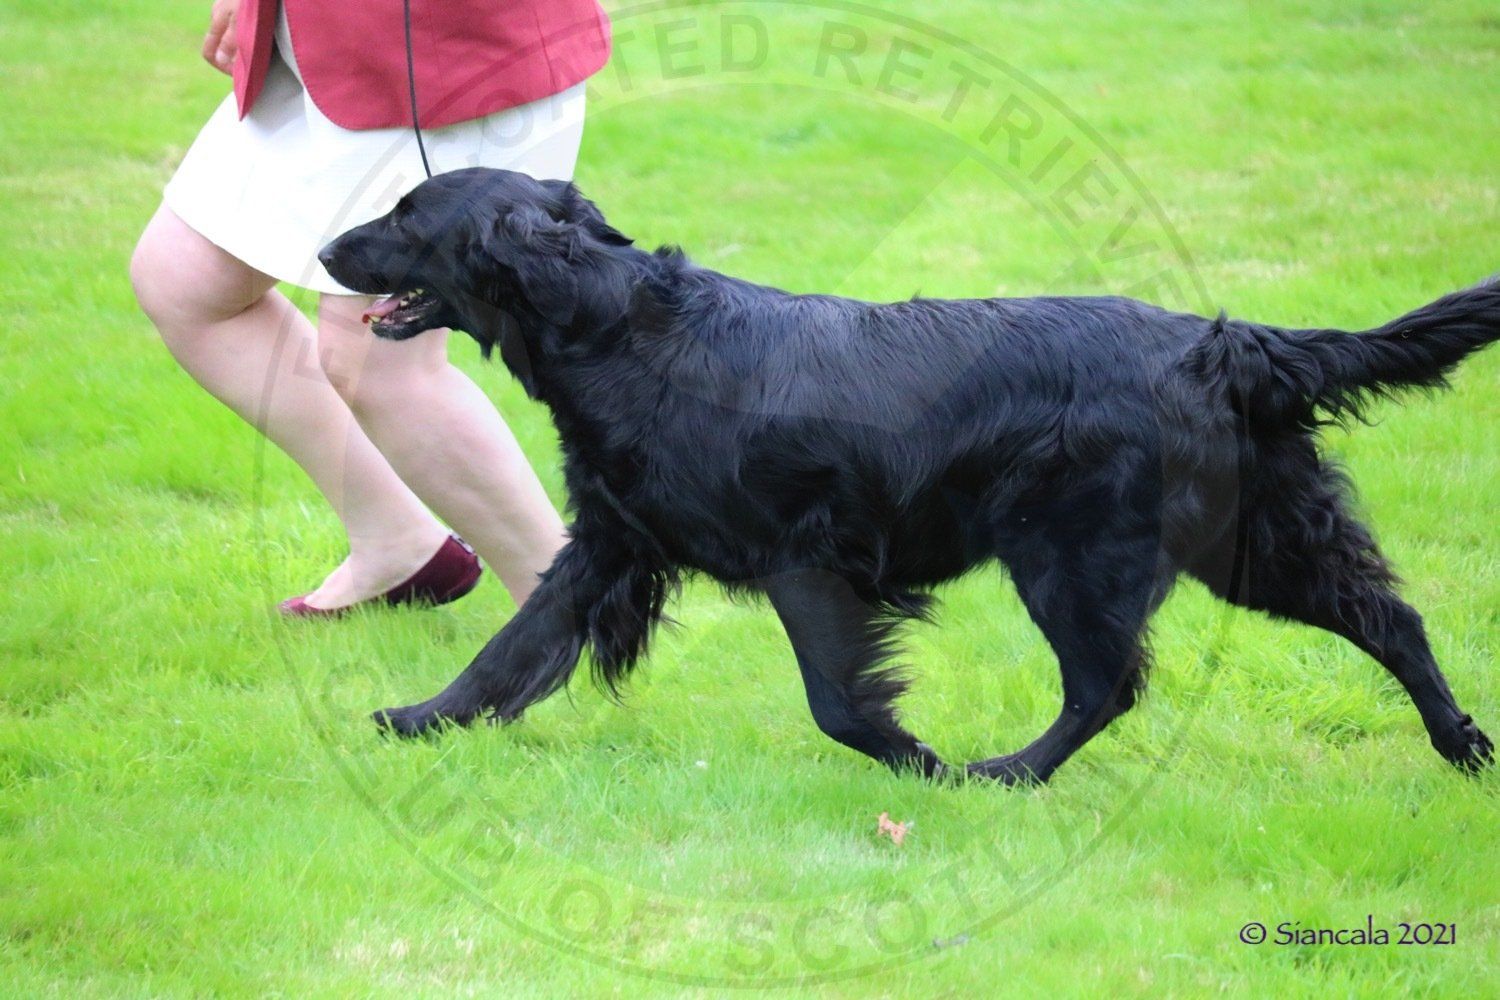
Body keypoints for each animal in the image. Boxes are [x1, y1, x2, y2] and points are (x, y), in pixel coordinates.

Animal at [319, 167, 1495, 783]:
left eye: (409, 216)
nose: (326, 250)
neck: (624, 332)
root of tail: (1219, 342)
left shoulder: (806, 560)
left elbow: (839, 700)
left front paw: (916, 762)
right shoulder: (612, 539)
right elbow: (512, 648)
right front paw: (419, 720)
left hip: (1077, 558)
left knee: (1106, 684)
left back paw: (1006, 774)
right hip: (1253, 540)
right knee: (1391, 618)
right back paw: (1464, 747)